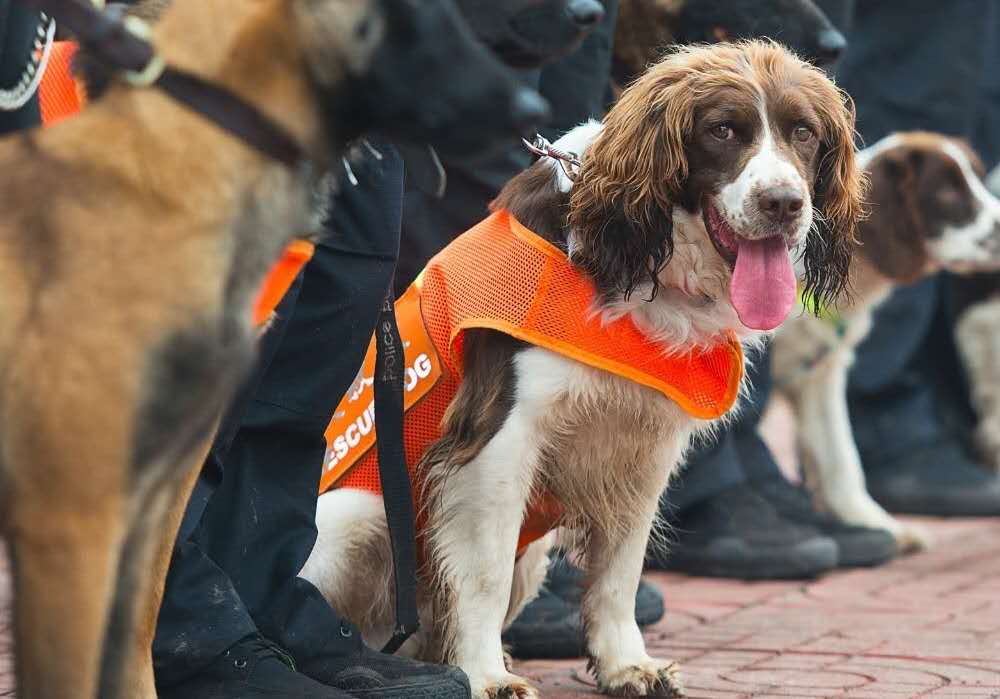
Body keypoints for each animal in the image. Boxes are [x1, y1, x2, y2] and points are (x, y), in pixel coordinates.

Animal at [300, 42, 864, 699]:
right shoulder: (499, 440)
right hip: (361, 516)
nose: (783, 204)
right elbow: (484, 573)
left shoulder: (642, 449)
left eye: (804, 132)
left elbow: (619, 574)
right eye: (722, 130)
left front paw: (626, 664)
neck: (641, 262)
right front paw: (486, 675)